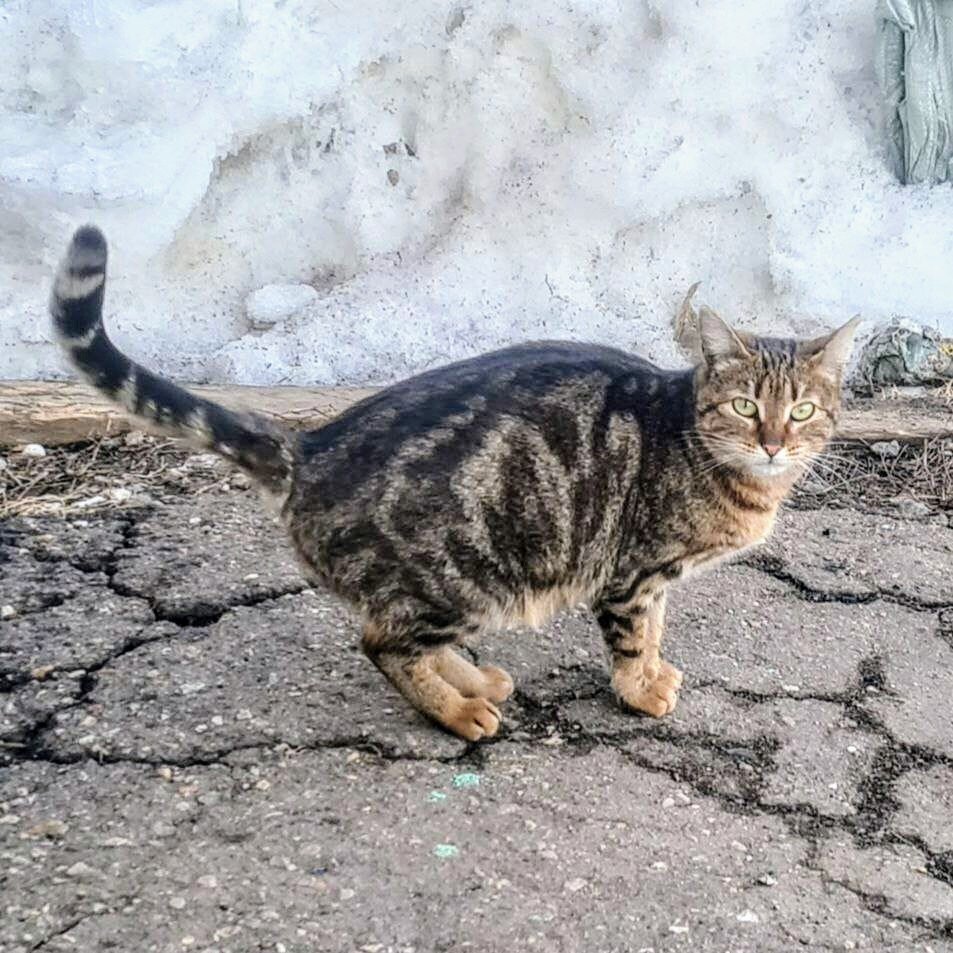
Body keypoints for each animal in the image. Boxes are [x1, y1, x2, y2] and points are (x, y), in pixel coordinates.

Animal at [48, 227, 860, 740]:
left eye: (804, 410)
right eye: (746, 406)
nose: (774, 443)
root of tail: (310, 444)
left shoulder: (652, 576)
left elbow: (655, 630)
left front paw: (657, 669)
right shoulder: (632, 571)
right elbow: (632, 639)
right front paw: (639, 689)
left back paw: (473, 681)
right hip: (467, 569)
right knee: (382, 641)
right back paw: (457, 710)